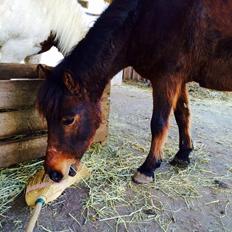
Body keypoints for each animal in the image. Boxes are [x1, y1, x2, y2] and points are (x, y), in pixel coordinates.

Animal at [37, 0, 232, 184]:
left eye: (68, 120)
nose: (53, 173)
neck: (143, 18)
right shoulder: (179, 79)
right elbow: (182, 115)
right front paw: (183, 155)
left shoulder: (166, 78)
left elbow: (159, 123)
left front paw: (148, 168)